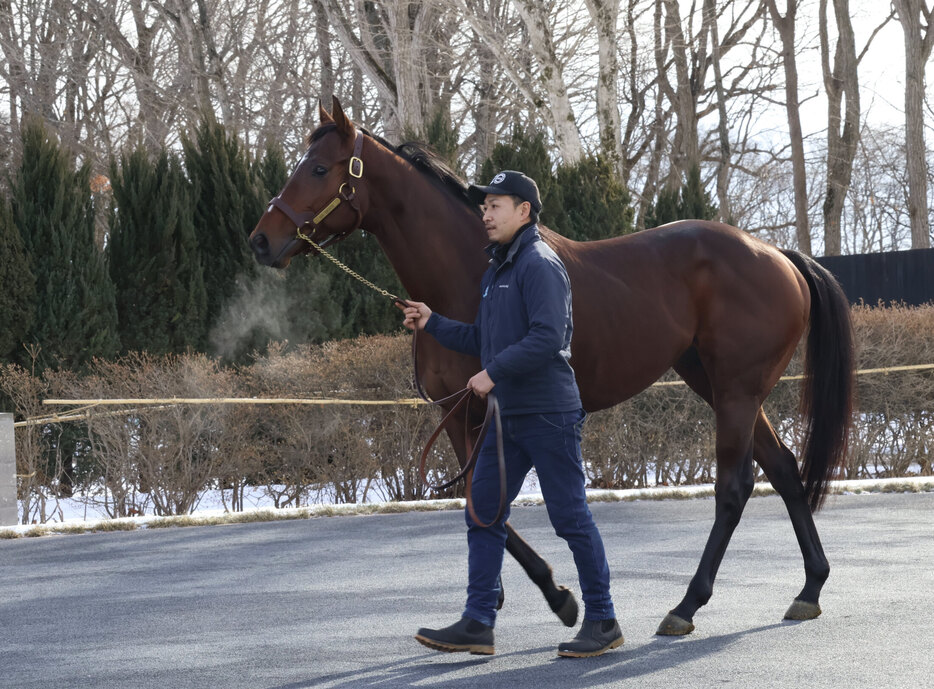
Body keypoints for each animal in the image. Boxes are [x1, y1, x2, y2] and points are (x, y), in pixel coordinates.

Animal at [247, 97, 856, 636]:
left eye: (319, 167)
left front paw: (558, 596)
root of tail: (779, 256)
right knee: (784, 469)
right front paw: (492, 598)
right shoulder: (460, 418)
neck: (471, 277)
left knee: (735, 486)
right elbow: (477, 507)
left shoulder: (484, 413)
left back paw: (686, 605)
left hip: (735, 390)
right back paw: (810, 588)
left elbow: (489, 505)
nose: (260, 240)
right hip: (719, 384)